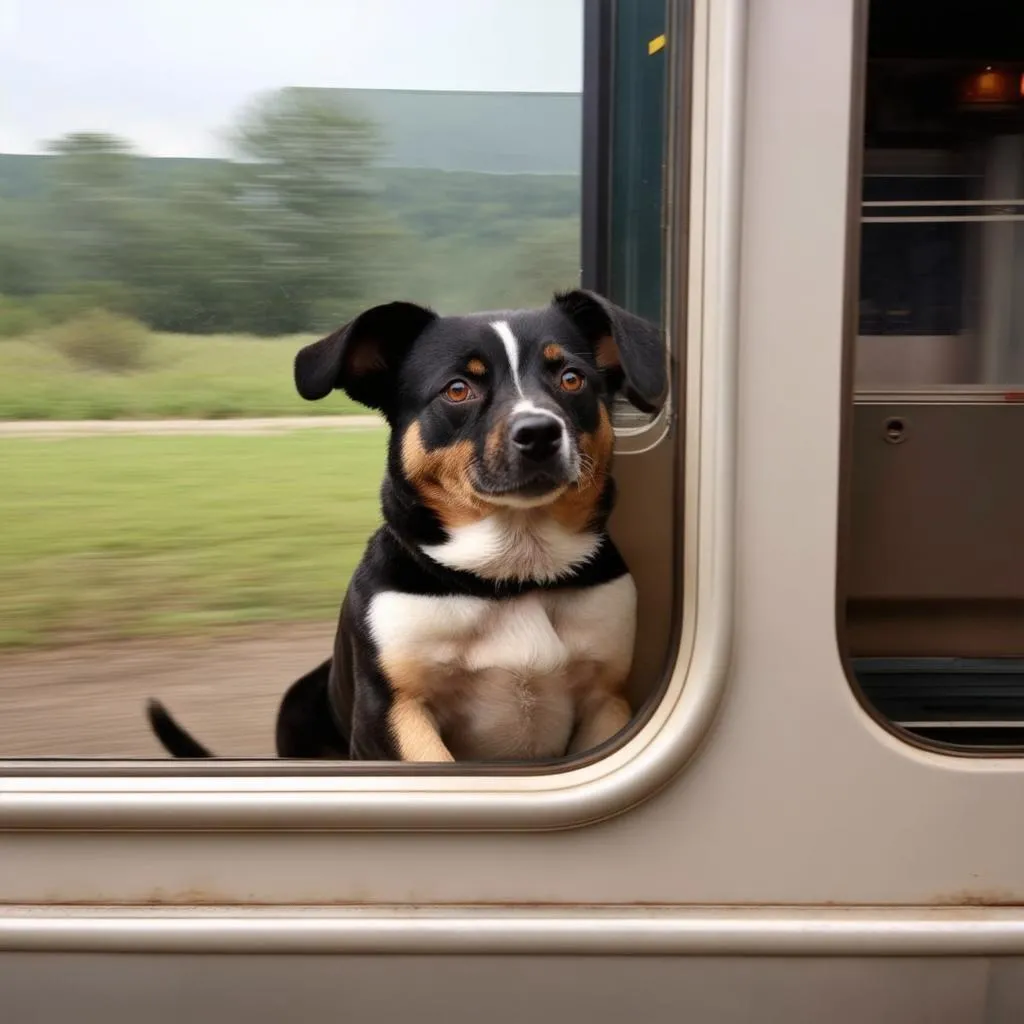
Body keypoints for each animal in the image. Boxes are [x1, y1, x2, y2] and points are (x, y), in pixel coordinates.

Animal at [148, 288, 667, 761]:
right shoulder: (393, 712)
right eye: (458, 388)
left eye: (571, 378)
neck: (512, 575)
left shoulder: (606, 703)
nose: (539, 433)